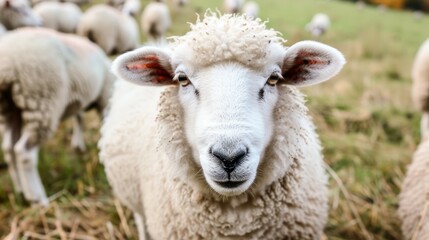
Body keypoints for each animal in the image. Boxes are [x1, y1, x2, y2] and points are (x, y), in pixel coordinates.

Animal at [0, 27, 115, 205]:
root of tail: (6, 66)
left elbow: (79, 118)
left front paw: (78, 146)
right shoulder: (105, 99)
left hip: (9, 107)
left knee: (9, 148)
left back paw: (20, 191)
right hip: (42, 98)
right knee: (24, 152)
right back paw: (38, 199)